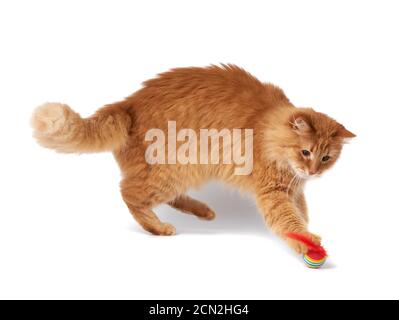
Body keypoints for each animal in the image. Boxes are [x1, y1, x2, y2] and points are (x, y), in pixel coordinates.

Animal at [32, 65, 356, 255]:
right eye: (306, 152)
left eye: (326, 157)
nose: (313, 171)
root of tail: (126, 105)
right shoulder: (274, 194)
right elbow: (289, 221)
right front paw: (306, 243)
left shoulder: (293, 191)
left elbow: (302, 214)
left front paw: (308, 235)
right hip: (175, 170)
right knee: (129, 193)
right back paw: (159, 228)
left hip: (185, 171)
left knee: (162, 196)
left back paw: (202, 211)